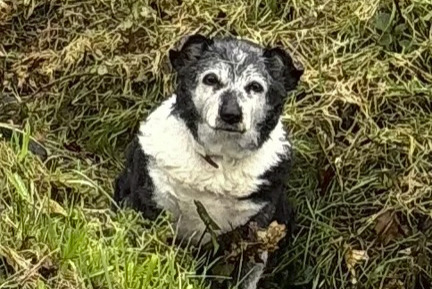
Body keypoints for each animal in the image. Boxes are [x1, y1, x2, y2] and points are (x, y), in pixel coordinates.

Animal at [115, 34, 304, 288]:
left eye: (255, 86)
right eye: (211, 79)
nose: (231, 114)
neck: (218, 161)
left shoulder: (254, 232)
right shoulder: (147, 204)